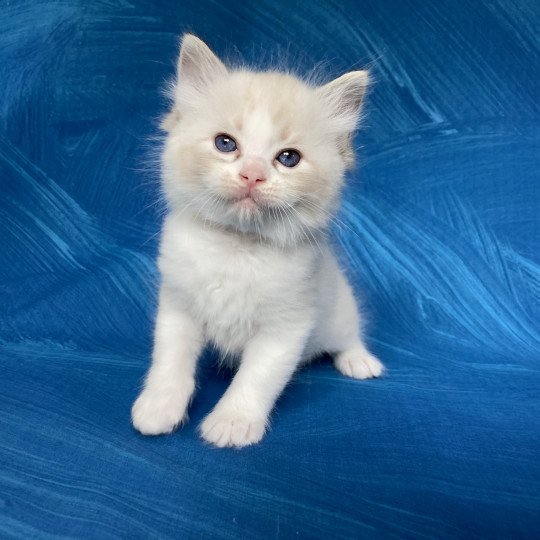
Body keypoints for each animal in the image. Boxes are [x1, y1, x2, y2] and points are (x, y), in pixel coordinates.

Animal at [132, 34, 384, 448]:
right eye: (225, 144)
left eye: (288, 158)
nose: (252, 175)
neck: (237, 245)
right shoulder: (178, 306)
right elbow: (170, 361)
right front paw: (159, 408)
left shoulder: (286, 327)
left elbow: (256, 379)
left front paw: (232, 423)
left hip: (338, 312)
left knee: (349, 335)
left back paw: (359, 361)